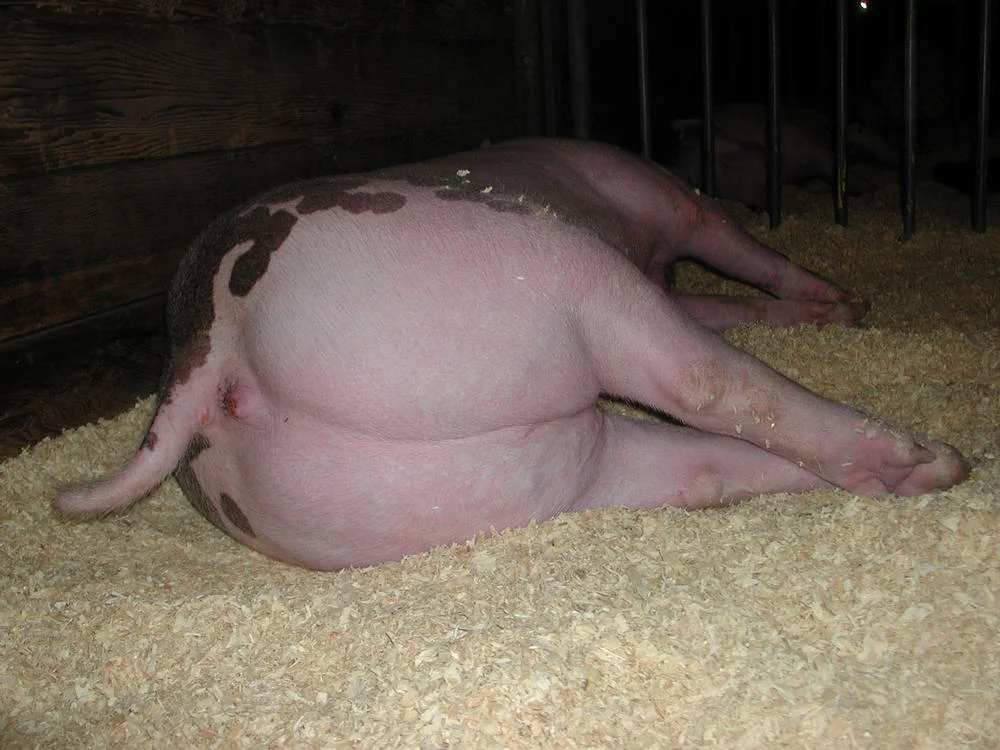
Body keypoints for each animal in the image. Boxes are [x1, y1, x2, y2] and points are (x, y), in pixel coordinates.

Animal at [55, 138, 968, 570]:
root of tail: (211, 348)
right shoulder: (667, 206)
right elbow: (746, 256)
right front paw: (845, 306)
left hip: (499, 478)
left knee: (700, 468)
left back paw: (914, 463)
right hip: (553, 277)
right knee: (704, 379)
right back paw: (940, 457)